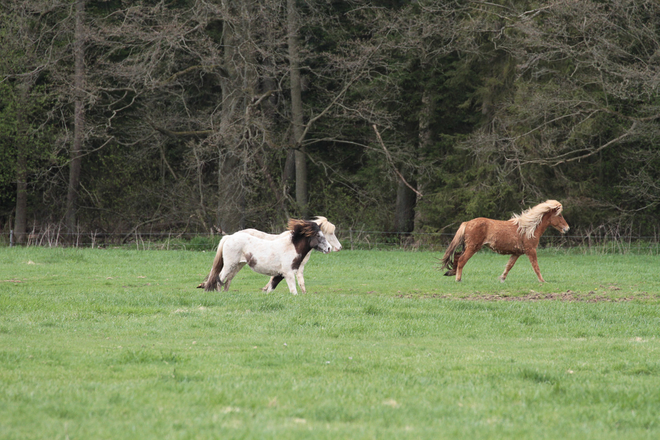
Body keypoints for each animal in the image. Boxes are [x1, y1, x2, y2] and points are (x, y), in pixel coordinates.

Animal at [197, 218, 328, 294]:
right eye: (318, 236)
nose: (329, 248)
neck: (291, 247)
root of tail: (229, 237)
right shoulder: (288, 274)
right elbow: (293, 291)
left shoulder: (279, 275)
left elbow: (270, 289)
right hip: (230, 264)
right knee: (220, 278)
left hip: (238, 265)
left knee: (227, 280)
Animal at [440, 200, 568, 282]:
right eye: (560, 215)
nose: (567, 228)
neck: (528, 229)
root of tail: (467, 223)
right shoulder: (531, 250)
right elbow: (536, 266)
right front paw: (542, 281)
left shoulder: (516, 253)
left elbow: (509, 266)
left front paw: (502, 278)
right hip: (473, 247)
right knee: (462, 260)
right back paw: (458, 279)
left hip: (467, 246)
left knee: (457, 256)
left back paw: (451, 273)